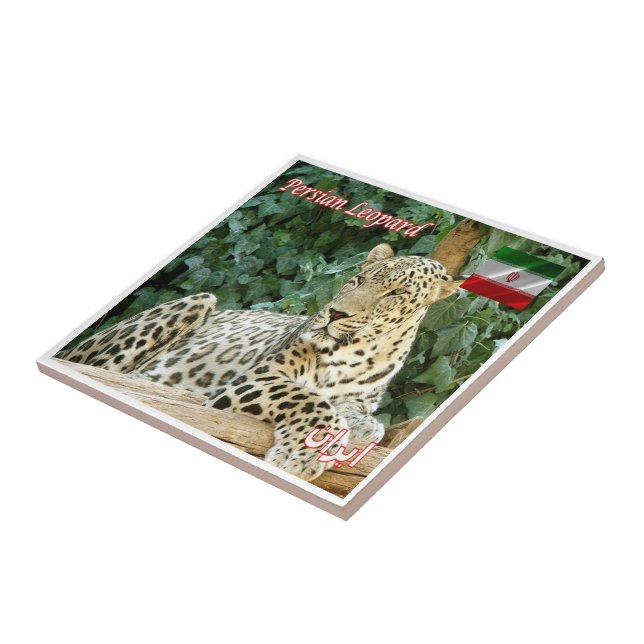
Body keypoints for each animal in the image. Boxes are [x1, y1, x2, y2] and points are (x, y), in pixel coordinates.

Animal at [57, 243, 463, 481]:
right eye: (358, 278)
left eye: (395, 293)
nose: (334, 313)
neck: (362, 352)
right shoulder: (256, 378)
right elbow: (309, 398)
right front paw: (301, 456)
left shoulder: (359, 396)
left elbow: (354, 411)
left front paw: (364, 427)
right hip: (195, 302)